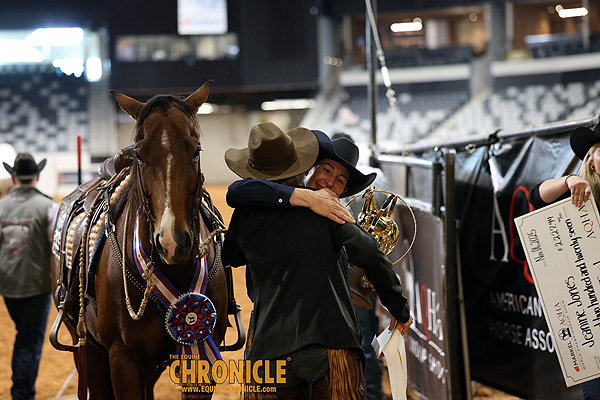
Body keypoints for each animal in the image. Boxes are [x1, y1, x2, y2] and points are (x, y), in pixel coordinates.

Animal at [50, 81, 242, 399]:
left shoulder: (200, 355)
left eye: (196, 150)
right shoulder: (122, 360)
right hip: (85, 346)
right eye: (139, 154)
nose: (172, 242)